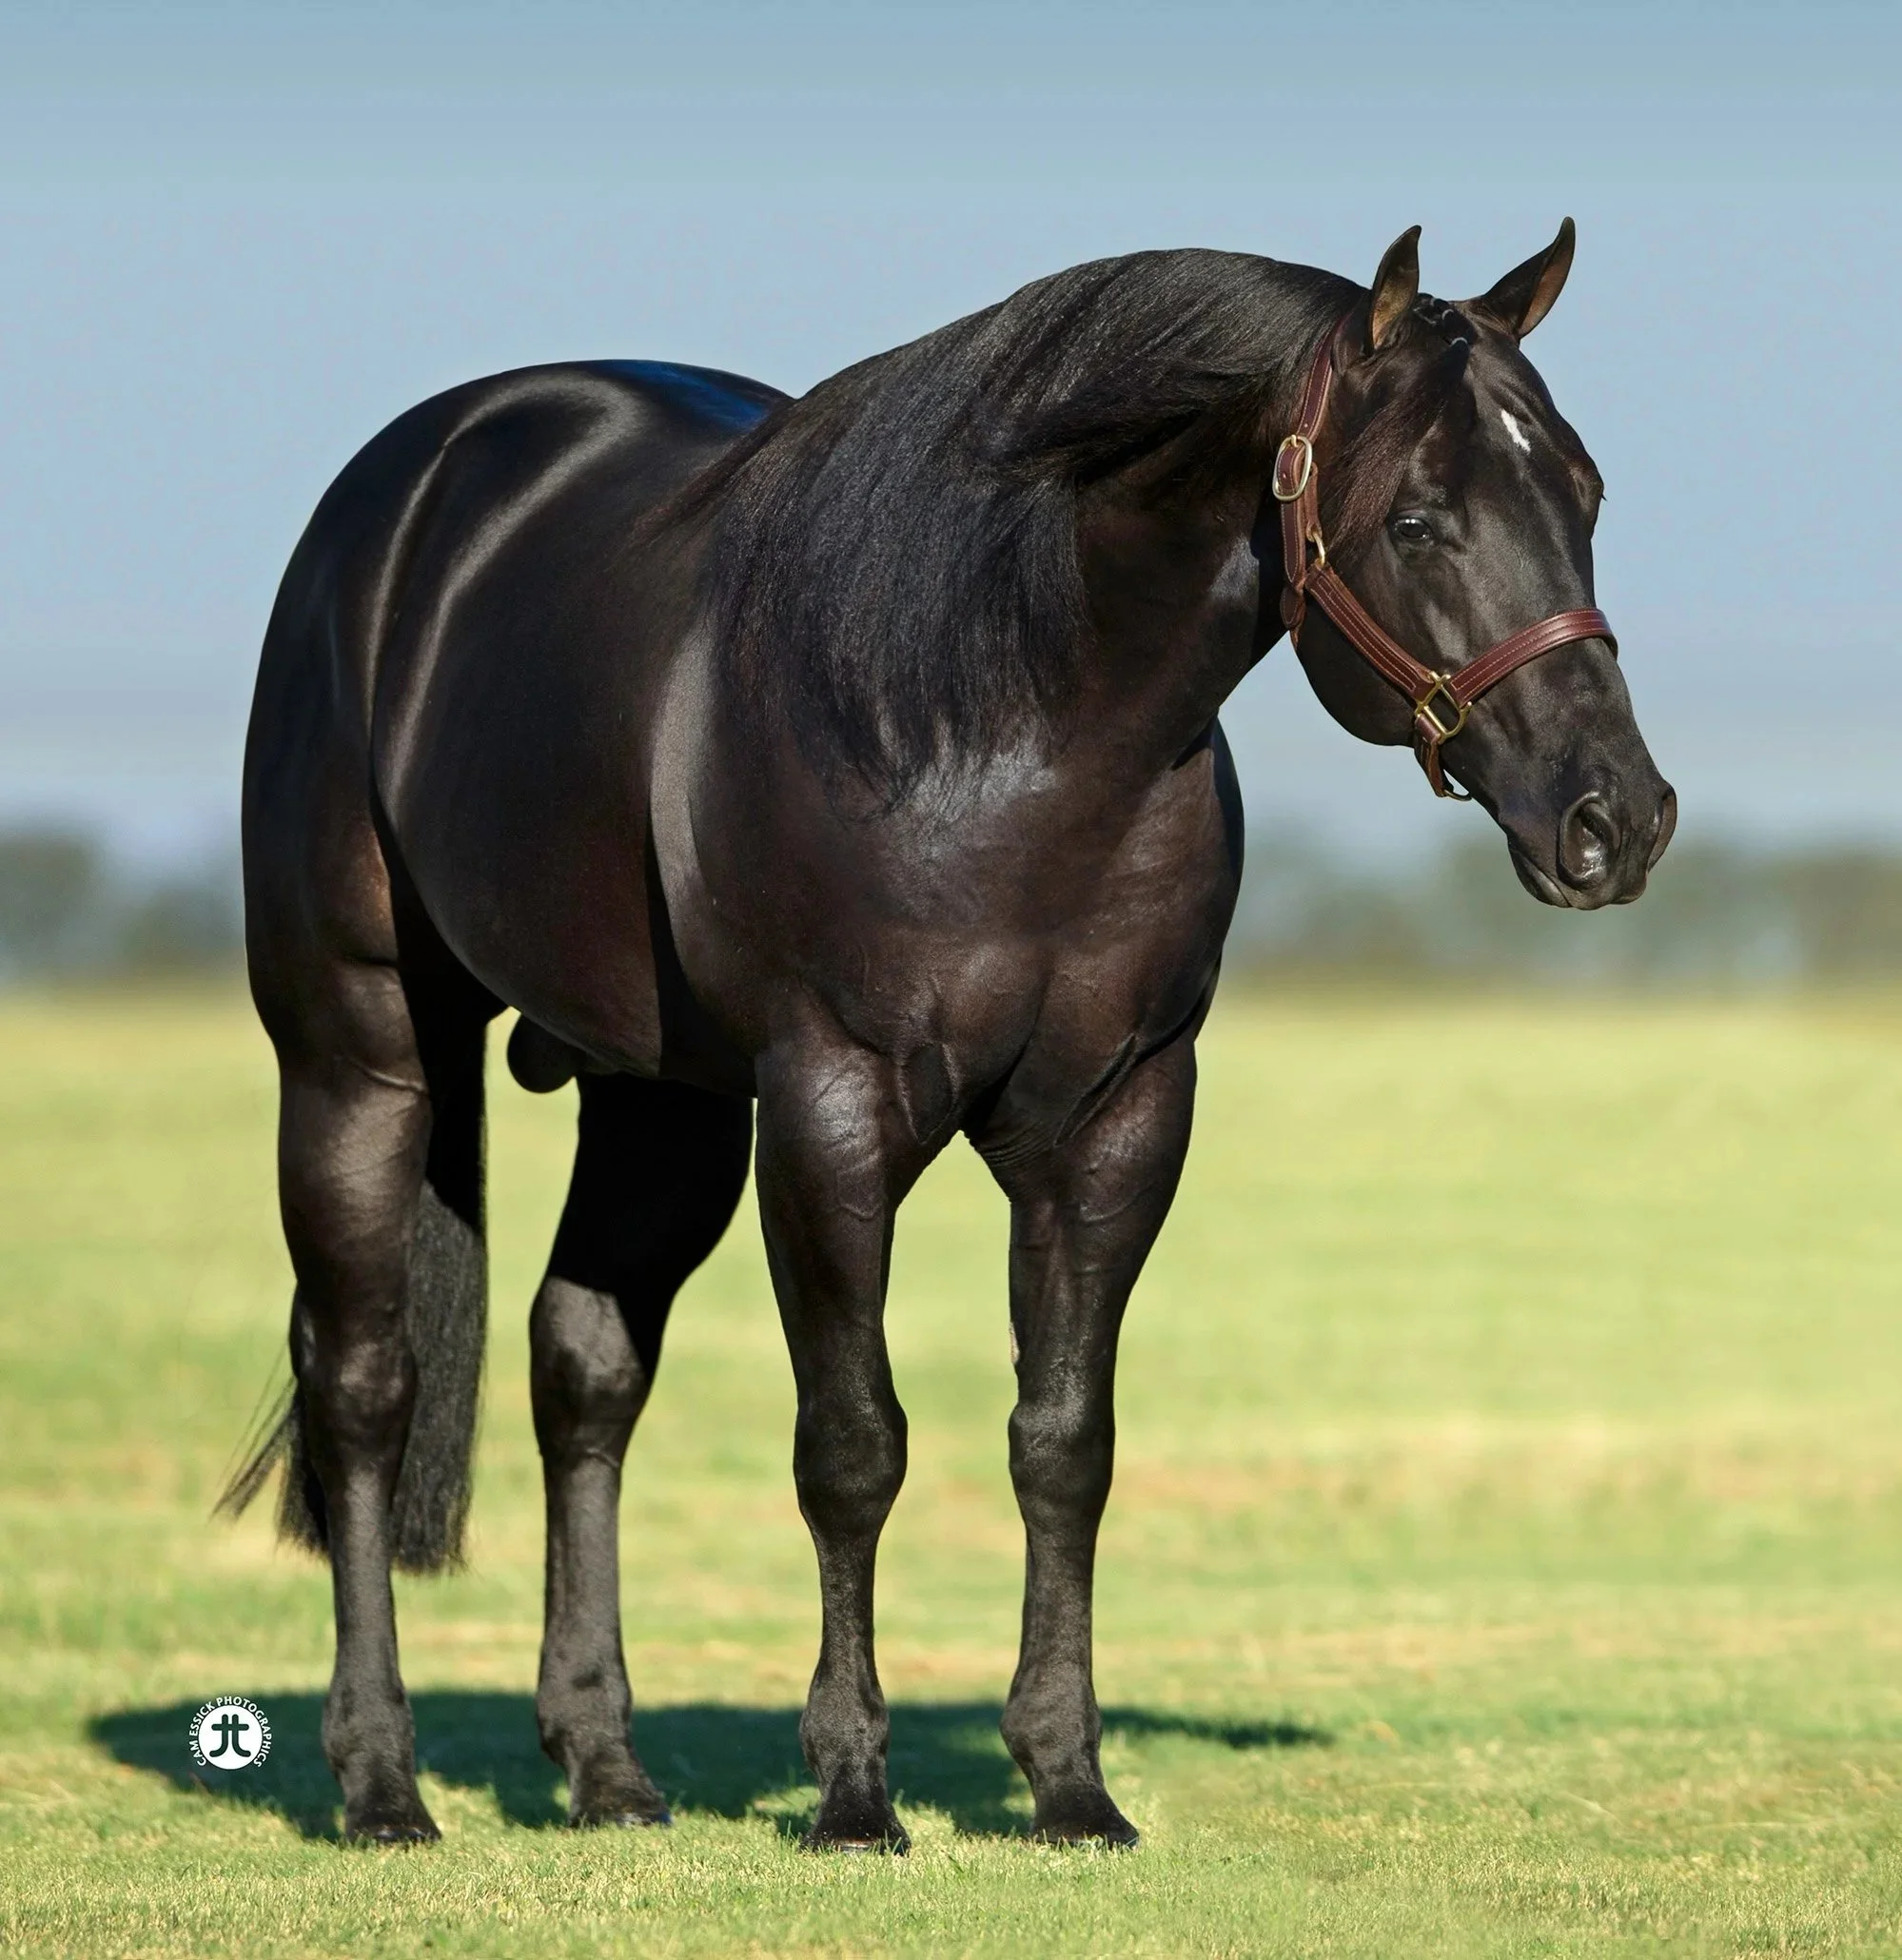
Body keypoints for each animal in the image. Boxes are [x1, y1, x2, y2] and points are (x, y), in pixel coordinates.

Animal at [225, 222, 1674, 1850]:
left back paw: (605, 1768)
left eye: (1582, 494)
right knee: (363, 1386)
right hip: (357, 1051)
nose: (1614, 819)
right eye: (1420, 520)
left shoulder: (1114, 1121)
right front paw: (853, 1793)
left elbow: (1063, 1443)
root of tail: (403, 497)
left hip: (659, 1101)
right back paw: (379, 1782)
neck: (1013, 726)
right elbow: (853, 1445)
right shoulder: (831, 1110)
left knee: (582, 1368)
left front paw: (1068, 1784)